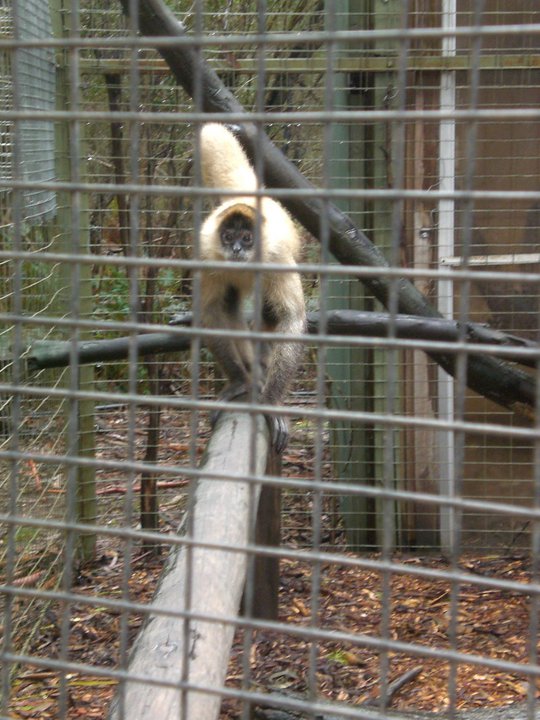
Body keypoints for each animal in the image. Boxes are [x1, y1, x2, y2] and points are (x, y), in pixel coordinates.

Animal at [197, 123, 306, 453]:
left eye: (246, 238)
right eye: (229, 236)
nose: (235, 248)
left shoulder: (277, 256)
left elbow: (291, 318)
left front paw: (270, 402)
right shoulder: (208, 253)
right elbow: (211, 311)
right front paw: (240, 382)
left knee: (270, 313)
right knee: (229, 305)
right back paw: (251, 373)